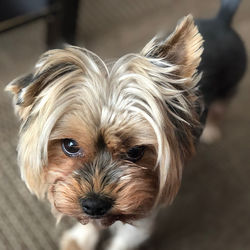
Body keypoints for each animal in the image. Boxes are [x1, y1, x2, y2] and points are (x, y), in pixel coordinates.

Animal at [5, 0, 246, 248]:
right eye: (70, 145)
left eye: (136, 151)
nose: (95, 204)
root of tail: (222, 20)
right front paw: (82, 239)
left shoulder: (143, 208)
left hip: (231, 83)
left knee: (221, 106)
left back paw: (212, 130)